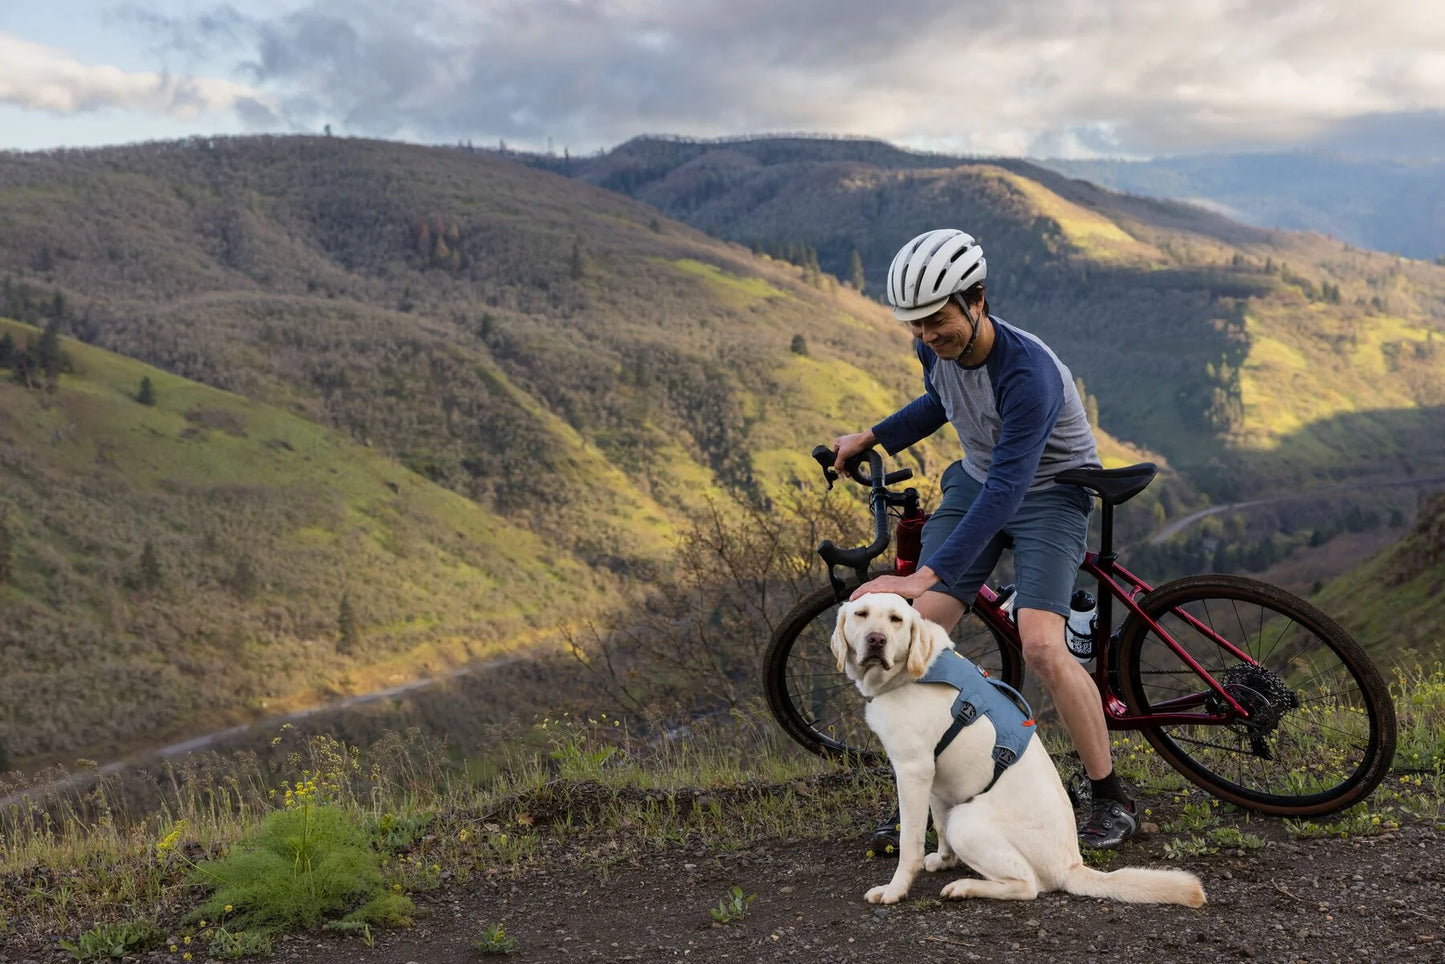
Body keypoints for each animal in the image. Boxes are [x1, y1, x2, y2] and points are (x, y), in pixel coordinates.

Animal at [832, 592, 1202, 907]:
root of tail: (1071, 865)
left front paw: (894, 890)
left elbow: (909, 843)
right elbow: (935, 821)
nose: (876, 640)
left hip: (965, 821)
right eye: (861, 614)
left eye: (895, 619)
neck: (914, 672)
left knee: (1027, 886)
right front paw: (944, 859)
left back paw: (966, 887)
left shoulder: (912, 770)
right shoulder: (934, 777)